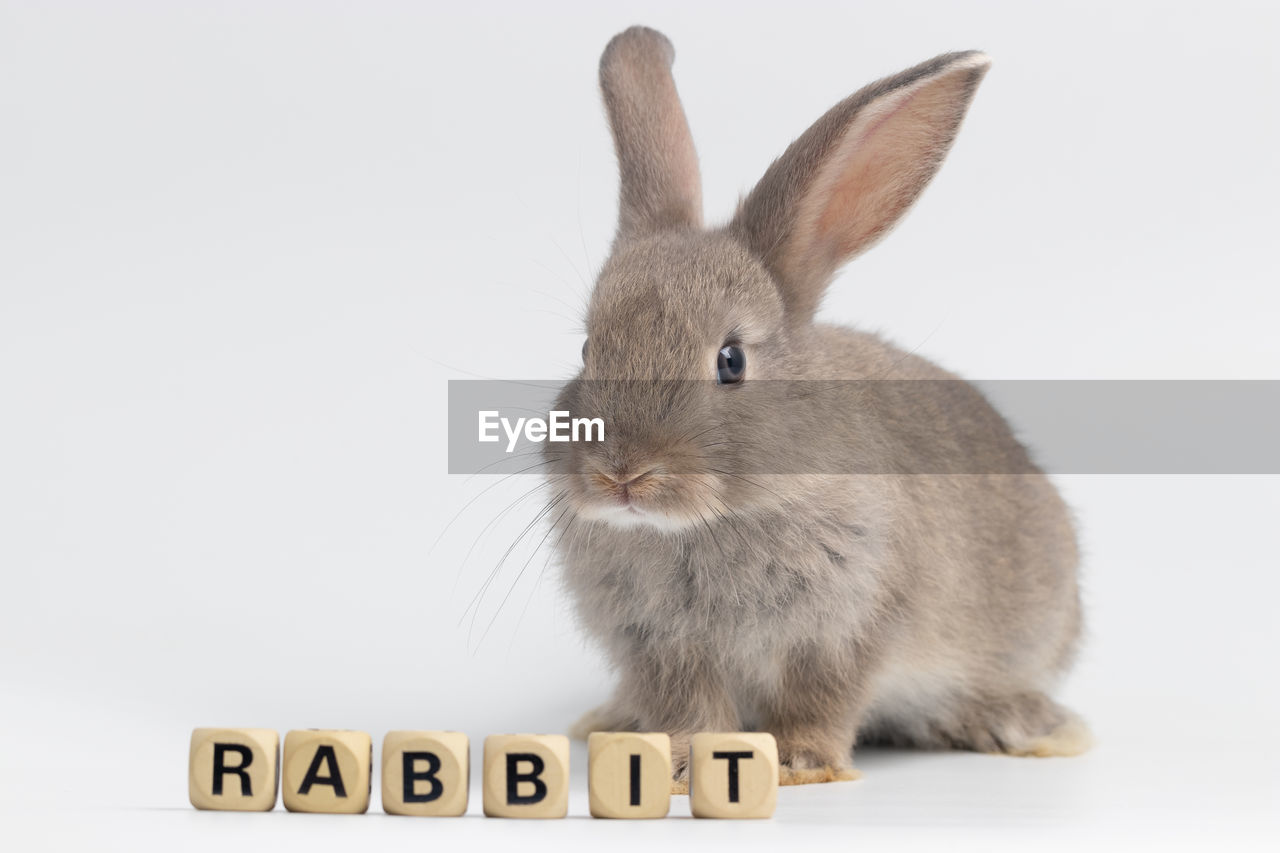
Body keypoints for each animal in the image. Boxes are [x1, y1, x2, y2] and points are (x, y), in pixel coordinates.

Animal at [542, 24, 1090, 783]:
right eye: (590, 349)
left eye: (731, 361)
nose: (620, 475)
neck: (708, 523)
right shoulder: (659, 645)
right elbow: (687, 706)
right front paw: (679, 762)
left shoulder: (849, 624)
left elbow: (821, 697)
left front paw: (799, 762)